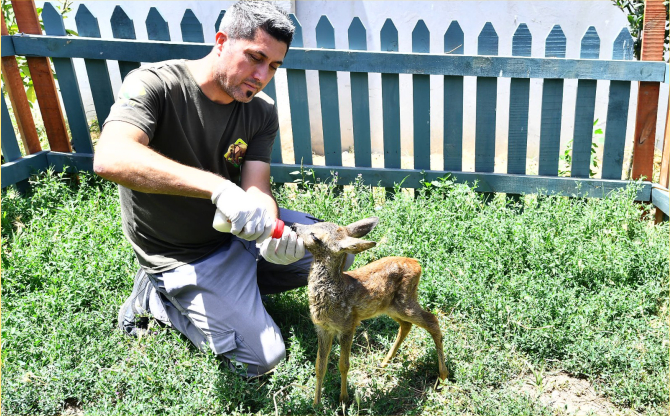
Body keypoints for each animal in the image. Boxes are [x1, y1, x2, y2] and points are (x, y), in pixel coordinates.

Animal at [292, 216, 448, 404]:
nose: (294, 225)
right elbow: (319, 366)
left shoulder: (348, 325)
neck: (335, 291)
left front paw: (344, 398)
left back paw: (443, 376)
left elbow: (344, 365)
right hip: (391, 307)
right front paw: (316, 403)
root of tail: (417, 264)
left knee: (432, 320)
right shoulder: (322, 328)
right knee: (406, 325)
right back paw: (385, 362)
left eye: (315, 236)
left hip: (406, 301)